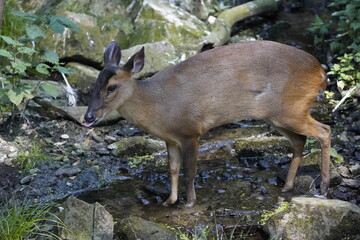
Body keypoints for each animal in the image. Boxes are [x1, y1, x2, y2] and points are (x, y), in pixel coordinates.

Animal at [83, 40, 330, 207]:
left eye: (112, 87)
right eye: (94, 84)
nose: (88, 117)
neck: (159, 106)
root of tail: (320, 72)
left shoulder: (191, 132)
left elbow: (190, 170)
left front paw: (190, 202)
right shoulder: (170, 138)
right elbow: (172, 168)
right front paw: (169, 201)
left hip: (291, 109)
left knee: (324, 131)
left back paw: (323, 188)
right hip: (277, 115)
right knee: (300, 140)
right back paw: (288, 186)